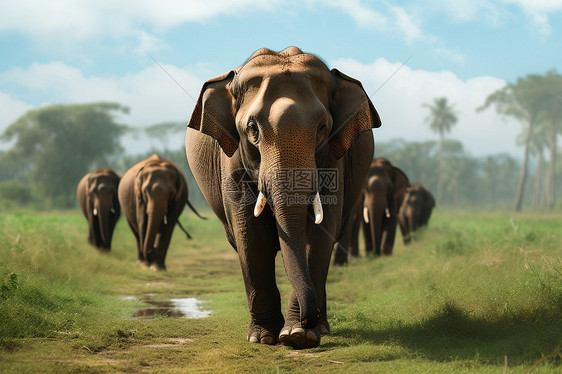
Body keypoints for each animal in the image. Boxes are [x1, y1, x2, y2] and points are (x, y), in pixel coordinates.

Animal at [186, 48, 378, 350]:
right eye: (252, 129)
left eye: (322, 128)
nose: (307, 320)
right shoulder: (231, 160)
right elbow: (250, 235)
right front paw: (264, 338)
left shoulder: (335, 160)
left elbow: (320, 233)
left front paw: (299, 336)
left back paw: (322, 328)